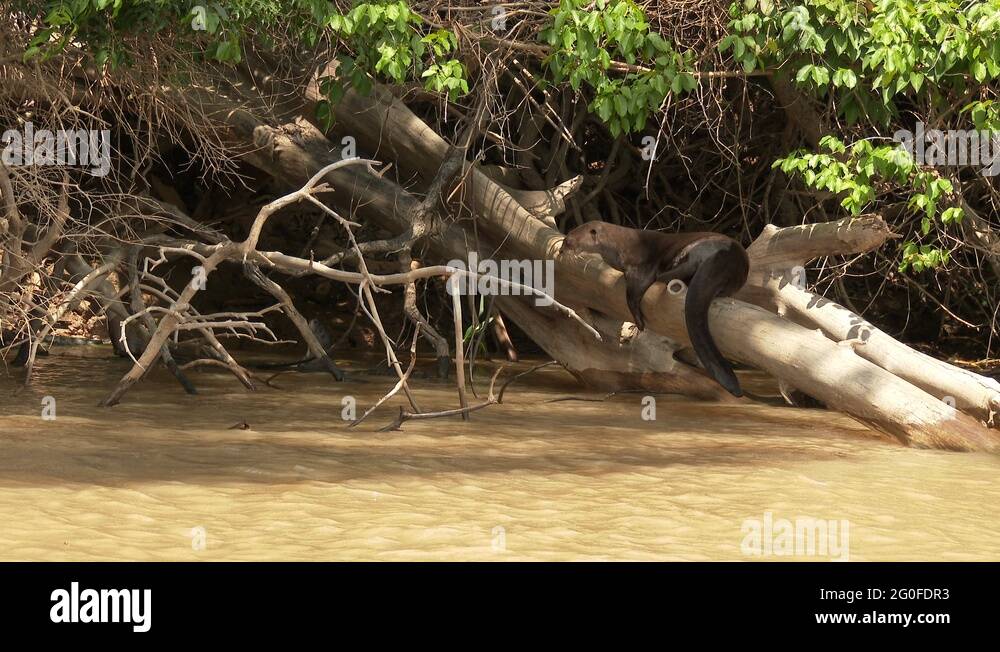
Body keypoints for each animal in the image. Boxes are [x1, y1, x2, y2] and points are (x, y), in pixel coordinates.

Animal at [561, 221, 748, 397]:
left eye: (568, 240)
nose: (561, 251)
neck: (618, 244)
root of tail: (730, 260)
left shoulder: (640, 265)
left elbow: (635, 290)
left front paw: (638, 322)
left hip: (699, 247)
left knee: (672, 272)